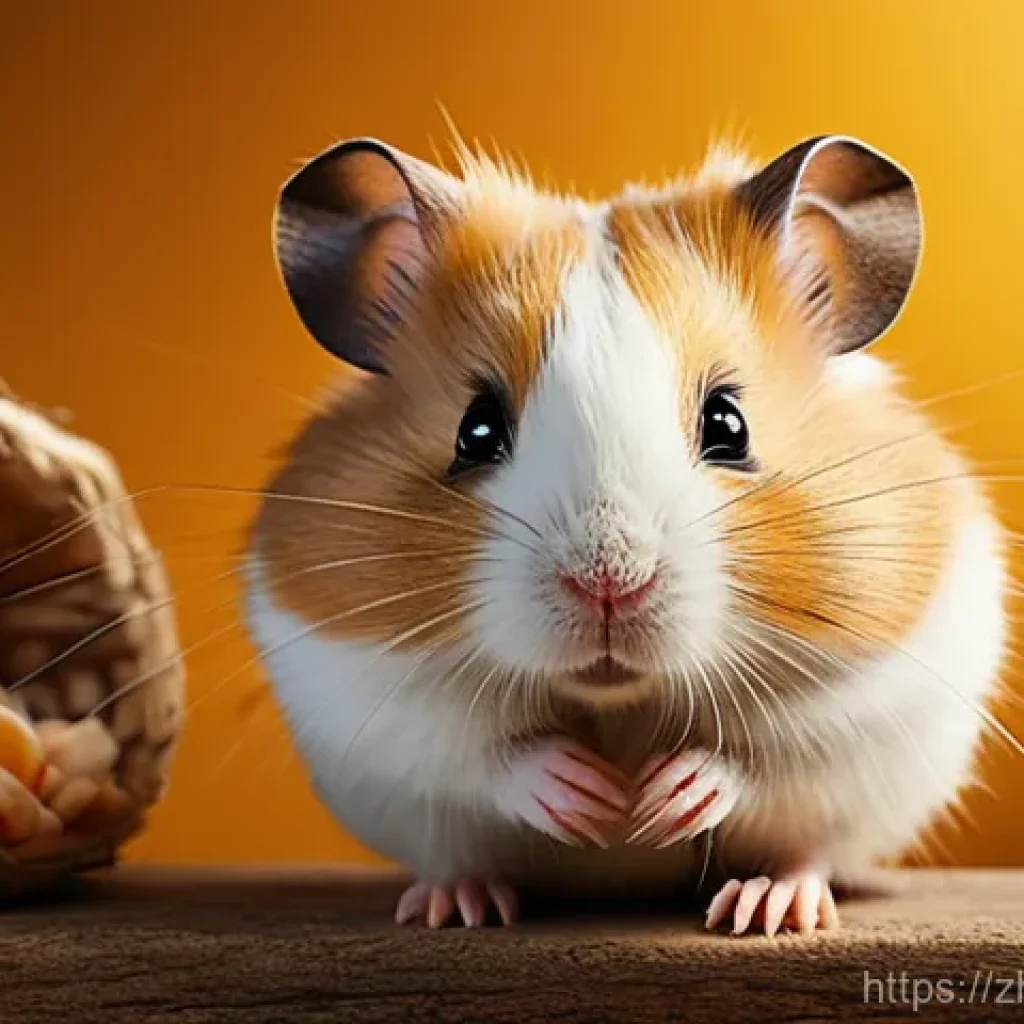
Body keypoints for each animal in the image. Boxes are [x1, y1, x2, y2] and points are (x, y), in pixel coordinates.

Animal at [244, 132, 1008, 936]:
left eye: (729, 424)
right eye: (474, 431)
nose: (607, 583)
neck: (618, 702)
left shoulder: (869, 694)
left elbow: (761, 759)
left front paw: (662, 800)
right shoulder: (367, 697)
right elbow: (484, 754)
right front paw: (594, 799)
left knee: (804, 852)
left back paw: (769, 909)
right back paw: (456, 906)